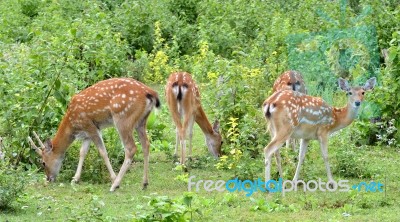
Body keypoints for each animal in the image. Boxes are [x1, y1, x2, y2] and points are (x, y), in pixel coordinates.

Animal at [27, 77, 161, 191]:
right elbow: (82, 152)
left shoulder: (90, 126)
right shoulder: (87, 134)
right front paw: (75, 179)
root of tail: (150, 92)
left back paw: (115, 185)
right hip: (142, 121)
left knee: (131, 148)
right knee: (146, 144)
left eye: (43, 162)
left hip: (123, 118)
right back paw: (144, 183)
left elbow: (103, 152)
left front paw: (113, 178)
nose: (49, 178)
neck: (72, 124)